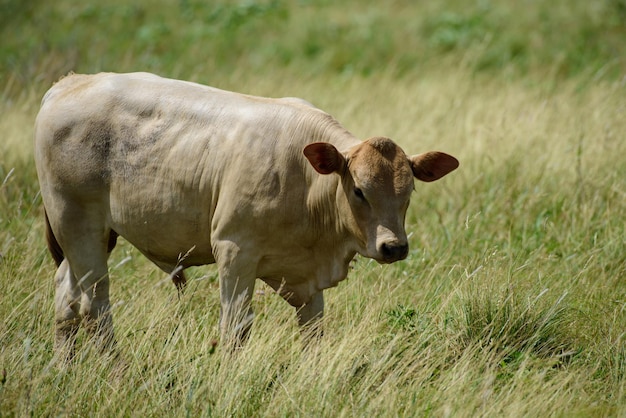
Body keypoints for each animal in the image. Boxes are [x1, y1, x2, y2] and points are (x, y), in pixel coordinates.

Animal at [34, 72, 456, 356]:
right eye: (359, 191)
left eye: (409, 190)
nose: (394, 247)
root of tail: (71, 83)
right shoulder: (234, 251)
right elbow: (235, 329)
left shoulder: (307, 279)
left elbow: (313, 332)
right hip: (78, 224)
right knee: (94, 305)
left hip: (94, 236)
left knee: (66, 298)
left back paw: (63, 367)